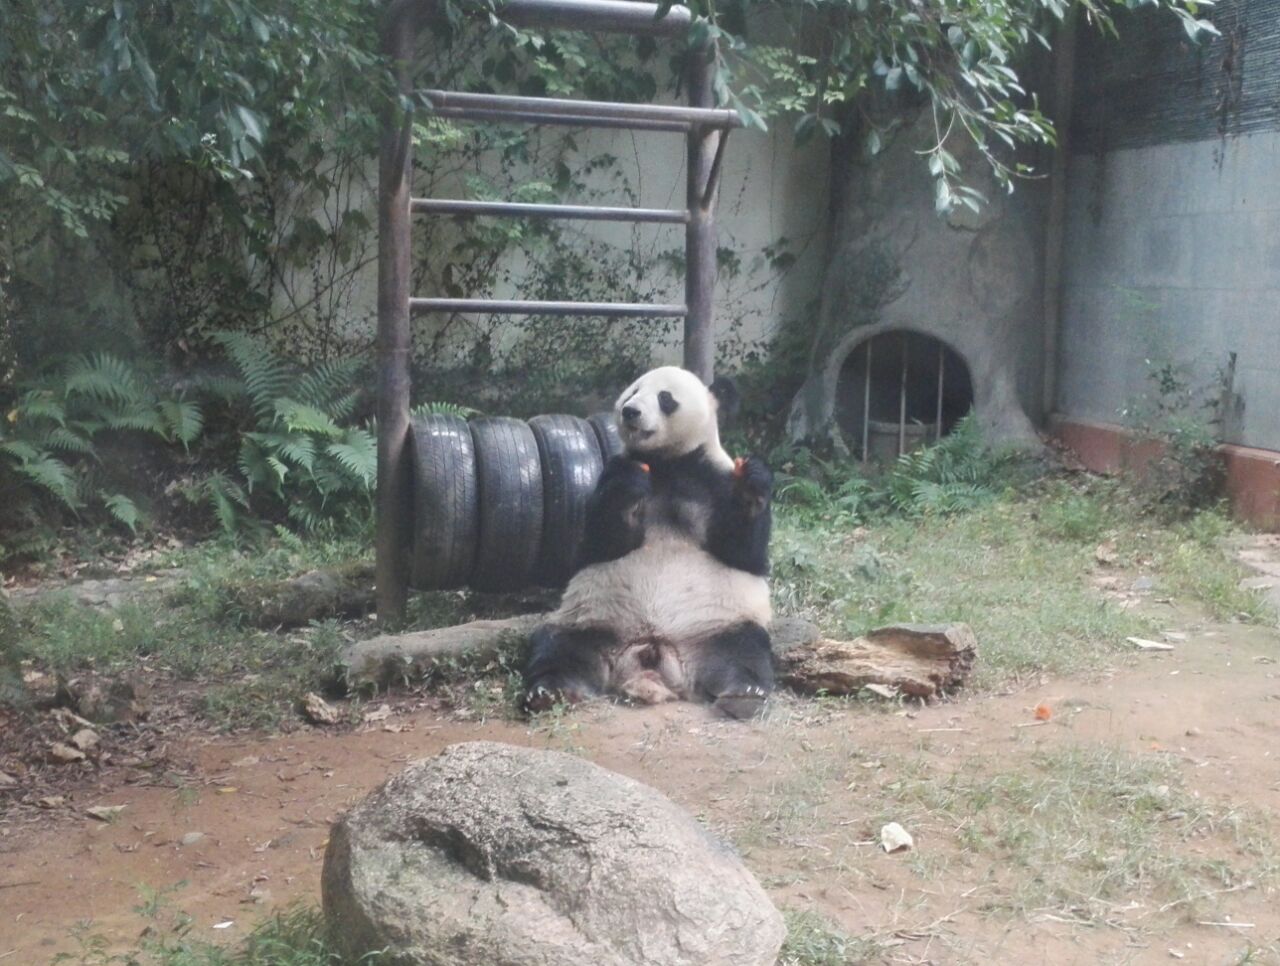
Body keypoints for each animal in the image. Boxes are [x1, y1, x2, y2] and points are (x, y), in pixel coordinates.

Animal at [522, 365, 778, 721]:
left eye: (665, 397)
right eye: (632, 392)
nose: (630, 411)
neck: (668, 462)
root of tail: (653, 652)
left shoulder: (712, 479)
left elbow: (744, 553)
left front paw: (753, 481)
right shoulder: (611, 473)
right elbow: (598, 543)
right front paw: (629, 485)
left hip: (718, 626)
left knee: (745, 650)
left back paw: (744, 695)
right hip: (592, 619)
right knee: (557, 645)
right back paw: (549, 691)